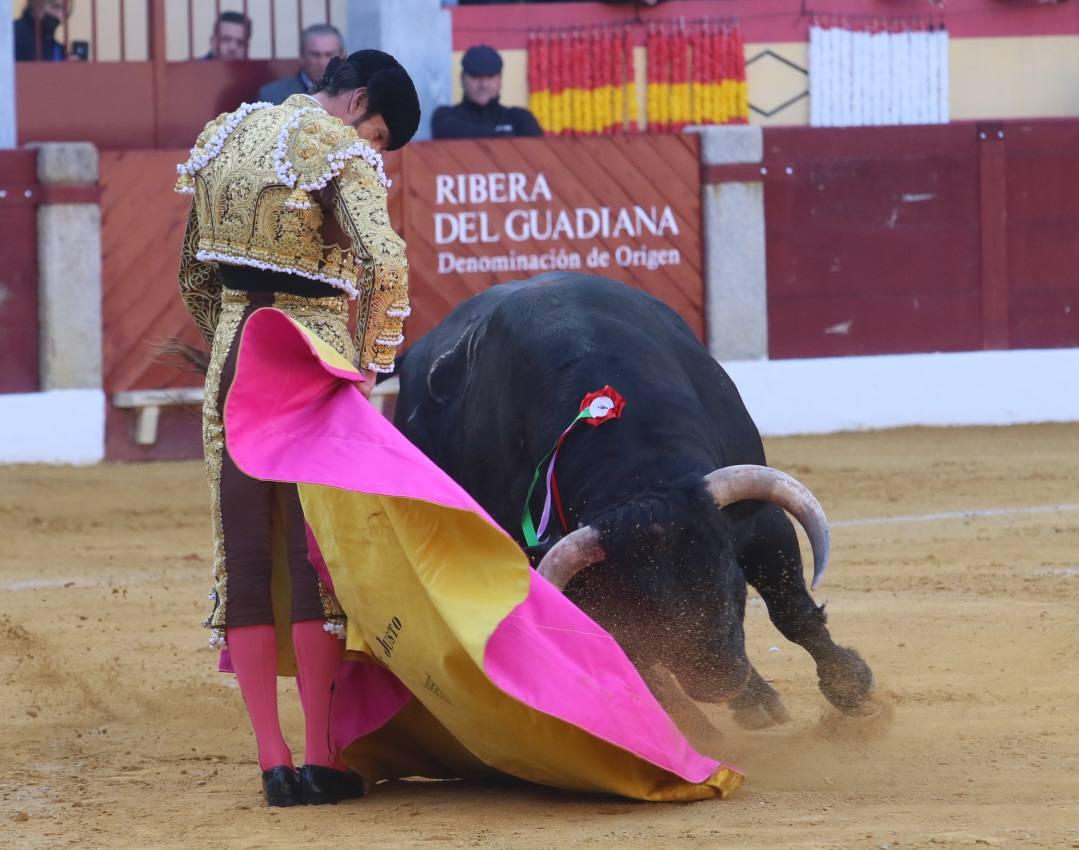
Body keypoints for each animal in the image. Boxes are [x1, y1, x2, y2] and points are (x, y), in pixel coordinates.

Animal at [397, 275, 876, 733]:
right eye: (646, 613)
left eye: (733, 586)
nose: (719, 682)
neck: (641, 476)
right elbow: (640, 660)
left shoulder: (757, 517)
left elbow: (791, 609)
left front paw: (853, 690)